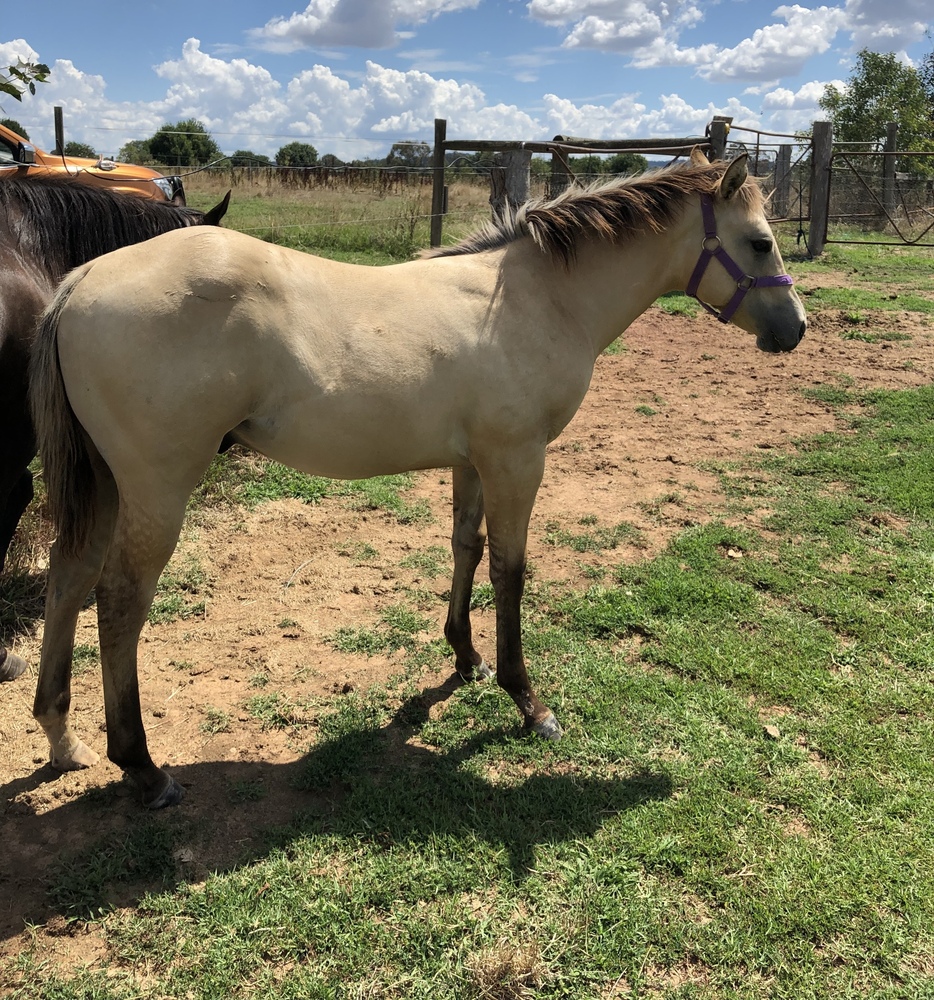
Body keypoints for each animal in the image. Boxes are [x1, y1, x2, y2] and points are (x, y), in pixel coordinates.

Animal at [27, 151, 806, 808]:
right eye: (760, 242)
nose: (795, 329)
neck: (537, 297)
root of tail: (81, 280)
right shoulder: (517, 458)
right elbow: (510, 569)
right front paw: (527, 701)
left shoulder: (473, 460)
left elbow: (467, 548)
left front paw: (465, 657)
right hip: (157, 489)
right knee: (119, 601)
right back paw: (141, 766)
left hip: (105, 485)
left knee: (69, 578)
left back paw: (62, 736)